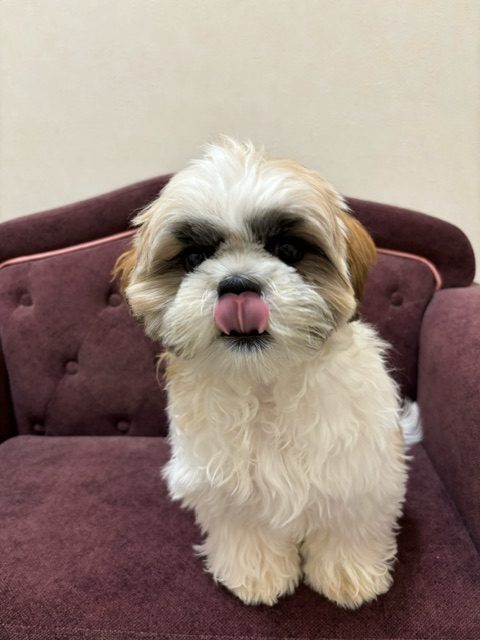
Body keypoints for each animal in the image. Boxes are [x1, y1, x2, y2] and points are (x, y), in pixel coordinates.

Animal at [115, 137, 408, 608]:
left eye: (287, 250)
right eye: (194, 257)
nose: (237, 284)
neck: (265, 383)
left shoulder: (358, 471)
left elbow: (348, 523)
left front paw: (348, 574)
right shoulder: (227, 485)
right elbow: (247, 528)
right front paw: (257, 576)